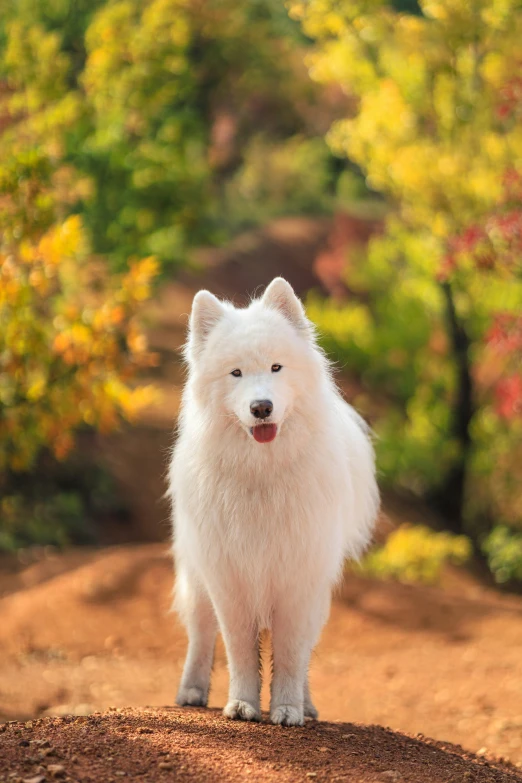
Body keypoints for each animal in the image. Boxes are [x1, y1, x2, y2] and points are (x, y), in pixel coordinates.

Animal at [171, 278, 378, 724]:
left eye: (276, 368)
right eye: (236, 373)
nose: (261, 407)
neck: (262, 475)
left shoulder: (298, 582)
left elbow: (290, 656)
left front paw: (286, 709)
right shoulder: (229, 580)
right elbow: (240, 654)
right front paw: (242, 704)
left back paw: (308, 705)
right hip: (197, 576)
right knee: (201, 635)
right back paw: (191, 691)